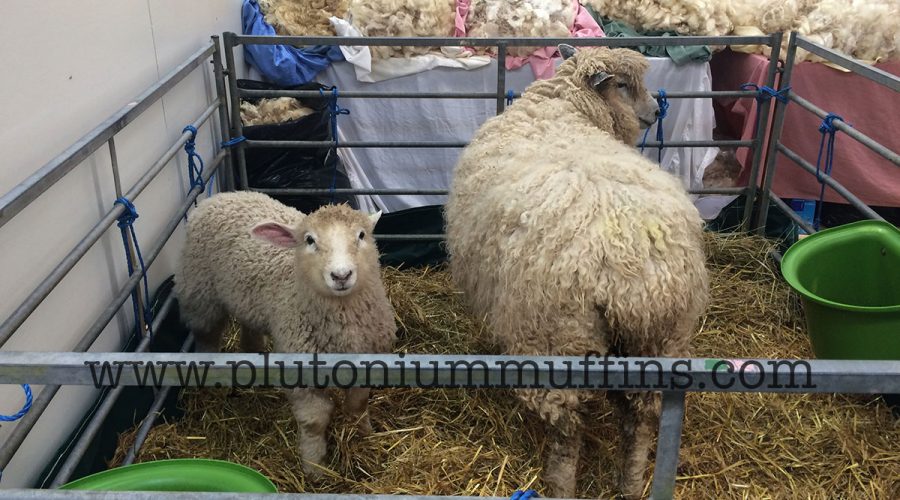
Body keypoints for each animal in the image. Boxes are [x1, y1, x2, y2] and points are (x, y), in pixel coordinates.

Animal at [174, 191, 396, 476]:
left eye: (361, 235)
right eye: (309, 240)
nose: (341, 275)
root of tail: (225, 195)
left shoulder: (367, 360)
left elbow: (357, 405)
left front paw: (366, 436)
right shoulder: (301, 374)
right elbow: (314, 420)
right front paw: (314, 467)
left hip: (247, 302)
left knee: (249, 330)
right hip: (200, 295)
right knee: (207, 339)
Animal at [442, 45, 712, 498]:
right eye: (622, 85)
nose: (655, 112)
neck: (563, 104)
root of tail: (638, 281)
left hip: (558, 338)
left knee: (568, 430)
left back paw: (560, 483)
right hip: (659, 340)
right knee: (640, 418)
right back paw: (630, 481)